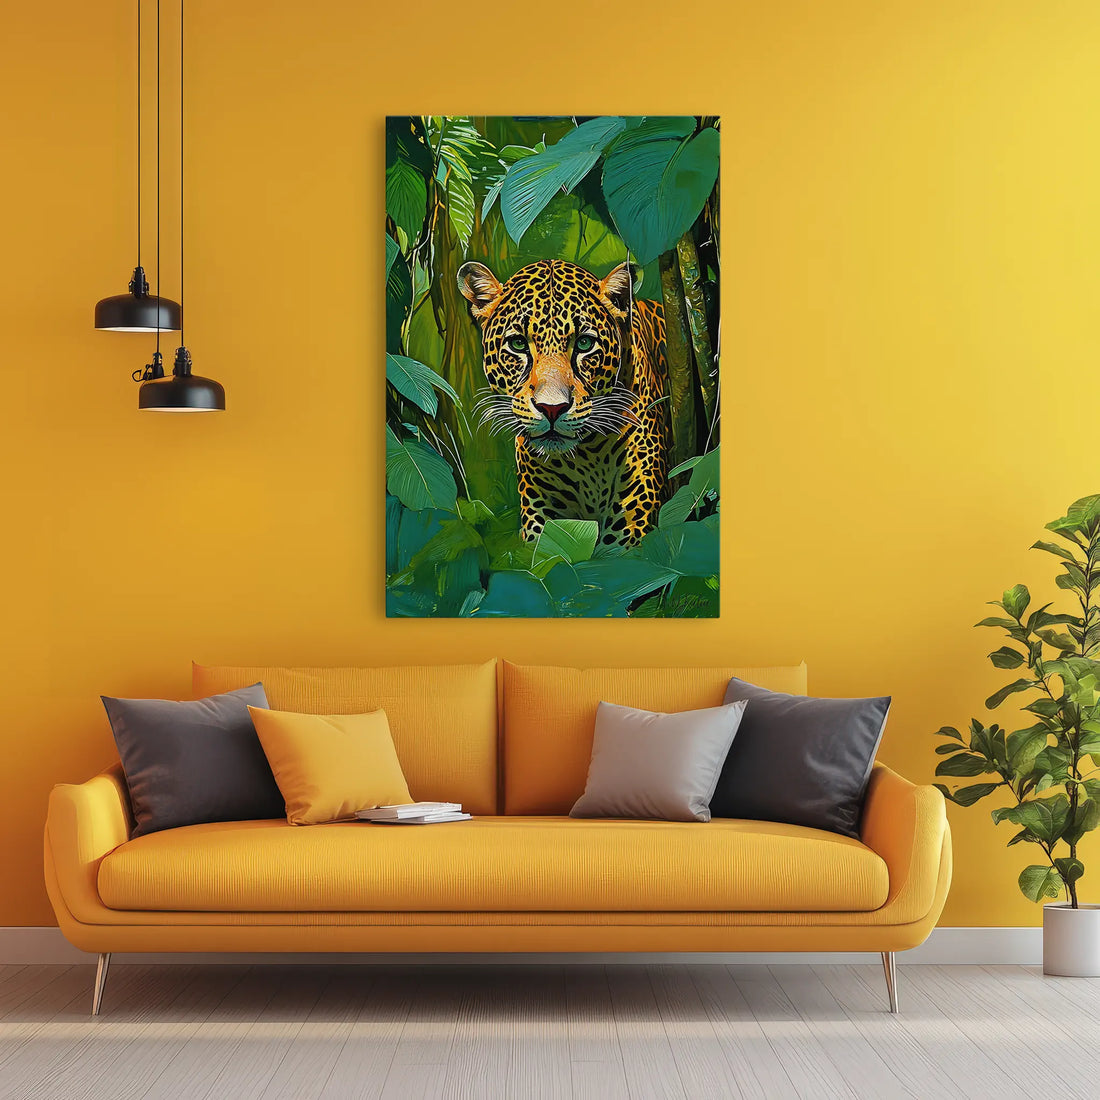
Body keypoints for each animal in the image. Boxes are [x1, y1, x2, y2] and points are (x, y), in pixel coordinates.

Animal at [457, 258, 668, 548]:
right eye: (518, 344)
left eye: (585, 343)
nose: (552, 408)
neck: (587, 457)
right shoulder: (543, 520)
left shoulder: (631, 526)